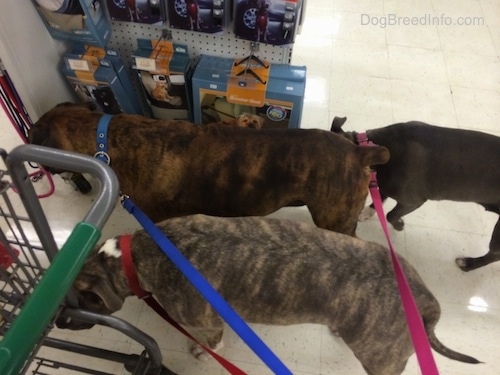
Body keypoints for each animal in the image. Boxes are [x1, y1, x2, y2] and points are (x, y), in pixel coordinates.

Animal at [332, 118, 500, 274]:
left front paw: (399, 224)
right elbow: (380, 197)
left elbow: (390, 215)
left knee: (494, 255)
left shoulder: (412, 201)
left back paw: (469, 264)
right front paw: (369, 212)